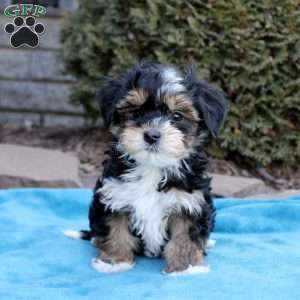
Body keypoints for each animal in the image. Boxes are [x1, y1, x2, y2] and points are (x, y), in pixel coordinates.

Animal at [64, 63, 229, 274]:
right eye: (136, 112)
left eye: (177, 115)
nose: (152, 135)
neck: (153, 167)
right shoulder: (115, 196)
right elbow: (116, 230)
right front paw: (115, 261)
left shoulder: (189, 202)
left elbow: (184, 238)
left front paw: (185, 267)